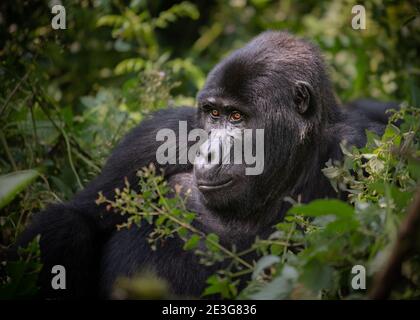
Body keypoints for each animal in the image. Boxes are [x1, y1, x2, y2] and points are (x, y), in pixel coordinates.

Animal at [16, 31, 398, 298]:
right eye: (213, 113)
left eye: (237, 117)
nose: (210, 153)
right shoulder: (154, 137)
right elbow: (78, 217)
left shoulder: (362, 147)